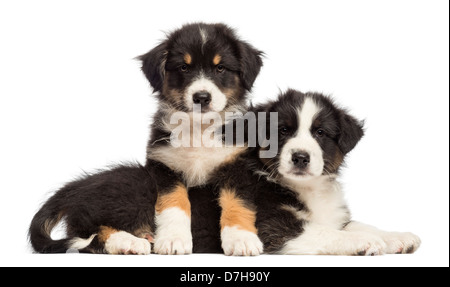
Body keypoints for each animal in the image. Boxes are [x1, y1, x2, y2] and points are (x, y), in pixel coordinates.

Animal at [29, 23, 264, 256]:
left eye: (220, 68)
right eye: (184, 68)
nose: (201, 98)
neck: (199, 130)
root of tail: (78, 185)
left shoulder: (236, 165)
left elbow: (237, 204)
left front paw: (242, 239)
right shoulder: (164, 165)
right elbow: (174, 203)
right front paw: (173, 239)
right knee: (86, 232)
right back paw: (129, 242)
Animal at [207, 90, 422, 256]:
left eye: (320, 132)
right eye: (283, 130)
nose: (301, 157)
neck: (308, 188)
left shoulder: (334, 215)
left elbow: (356, 224)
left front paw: (395, 237)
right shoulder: (272, 226)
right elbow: (325, 232)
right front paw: (362, 240)